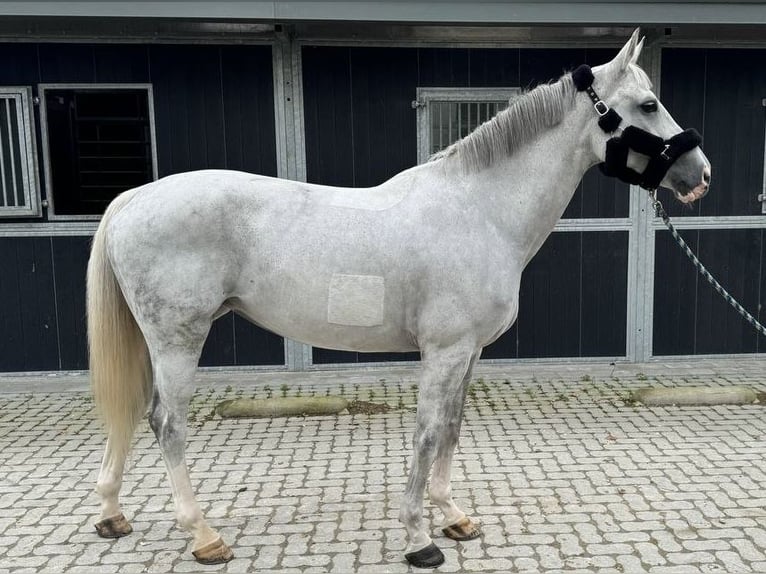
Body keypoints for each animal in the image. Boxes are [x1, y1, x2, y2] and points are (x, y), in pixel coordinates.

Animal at [88, 30, 708, 568]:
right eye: (649, 104)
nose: (699, 175)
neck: (479, 209)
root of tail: (134, 198)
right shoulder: (445, 350)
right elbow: (428, 433)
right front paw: (418, 539)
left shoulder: (469, 352)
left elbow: (452, 427)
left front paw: (454, 517)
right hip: (179, 339)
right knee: (167, 424)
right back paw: (204, 535)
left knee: (132, 415)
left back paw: (113, 514)